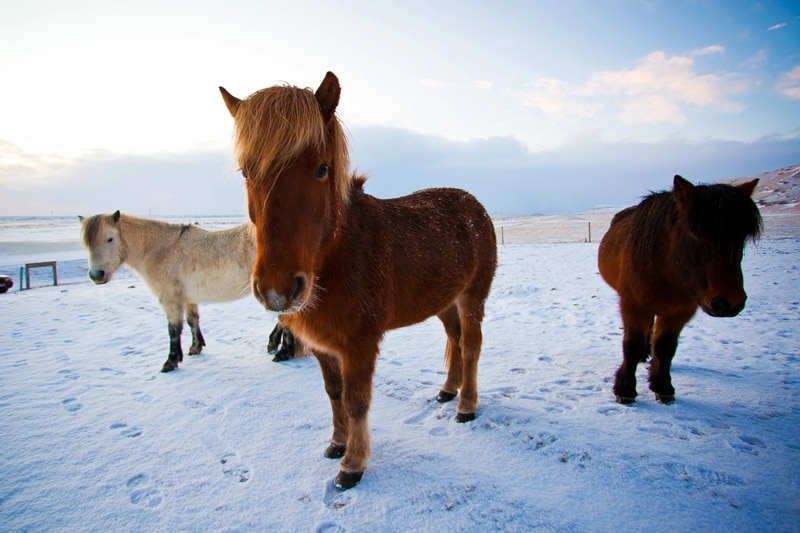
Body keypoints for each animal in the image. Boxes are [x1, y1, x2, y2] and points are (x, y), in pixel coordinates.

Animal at [79, 211, 296, 371]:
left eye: (109, 239)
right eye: (86, 244)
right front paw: (195, 347)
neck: (159, 250)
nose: (96, 275)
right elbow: (193, 321)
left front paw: (170, 362)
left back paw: (283, 352)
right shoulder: (188, 298)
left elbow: (173, 329)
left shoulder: (170, 300)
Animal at [219, 72, 497, 489]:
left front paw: (352, 464)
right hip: (444, 302)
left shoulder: (359, 345)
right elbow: (334, 394)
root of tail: (473, 205)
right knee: (455, 339)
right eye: (246, 172)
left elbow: (356, 401)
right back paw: (448, 391)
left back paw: (466, 406)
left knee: (472, 347)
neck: (338, 257)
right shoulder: (322, 346)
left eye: (321, 169)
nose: (278, 290)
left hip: (473, 298)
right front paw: (337, 443)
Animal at [598, 175, 762, 404]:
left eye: (742, 237)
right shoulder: (634, 304)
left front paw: (662, 385)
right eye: (694, 233)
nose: (729, 303)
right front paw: (625, 389)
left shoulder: (681, 310)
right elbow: (632, 345)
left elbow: (665, 346)